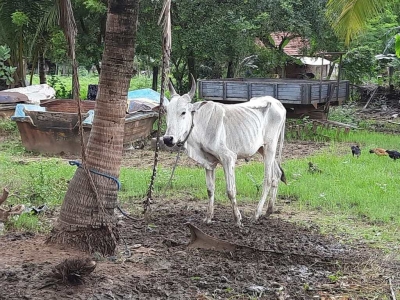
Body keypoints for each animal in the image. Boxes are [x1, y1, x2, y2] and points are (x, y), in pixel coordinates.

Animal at [163, 78, 288, 226]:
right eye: (166, 111)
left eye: (183, 112)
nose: (167, 139)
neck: (200, 125)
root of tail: (278, 103)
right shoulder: (208, 163)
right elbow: (210, 189)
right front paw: (208, 217)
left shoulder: (228, 158)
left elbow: (230, 190)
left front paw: (238, 219)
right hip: (263, 149)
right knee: (277, 174)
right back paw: (269, 210)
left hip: (270, 147)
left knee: (268, 179)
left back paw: (256, 214)